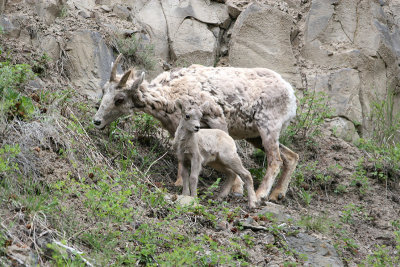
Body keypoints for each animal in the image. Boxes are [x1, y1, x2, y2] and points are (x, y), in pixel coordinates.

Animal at [94, 55, 298, 203]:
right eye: (103, 90)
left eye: (119, 99)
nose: (97, 121)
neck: (170, 97)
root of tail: (291, 95)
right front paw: (178, 183)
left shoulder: (216, 118)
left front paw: (237, 190)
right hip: (255, 136)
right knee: (291, 156)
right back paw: (277, 194)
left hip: (268, 127)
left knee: (276, 159)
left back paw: (262, 194)